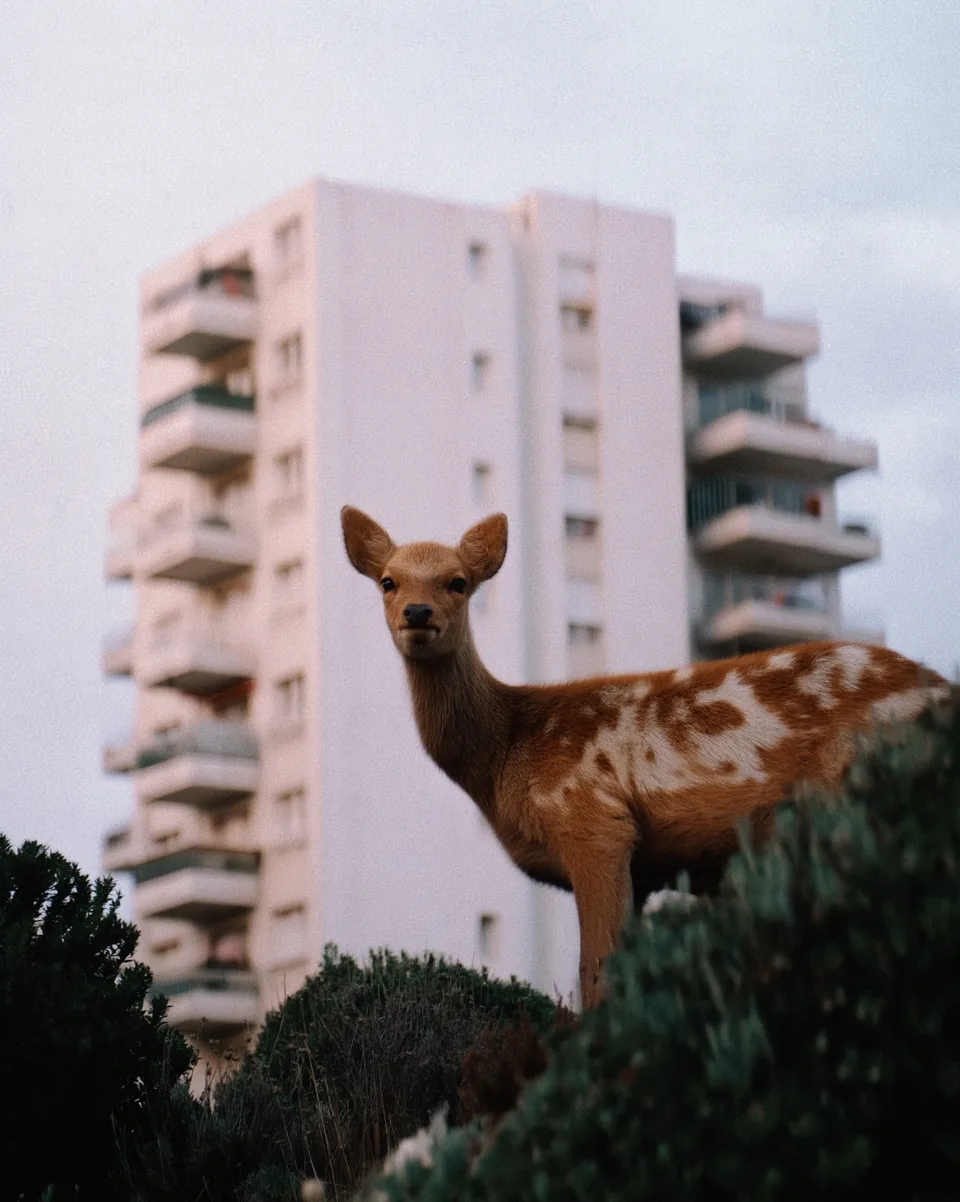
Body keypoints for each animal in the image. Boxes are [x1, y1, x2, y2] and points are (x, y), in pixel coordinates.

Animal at [341, 506, 950, 1009]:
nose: (418, 612)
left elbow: (596, 972)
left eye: (459, 582)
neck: (508, 750)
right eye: (388, 581)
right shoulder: (649, 866)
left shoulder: (593, 820)